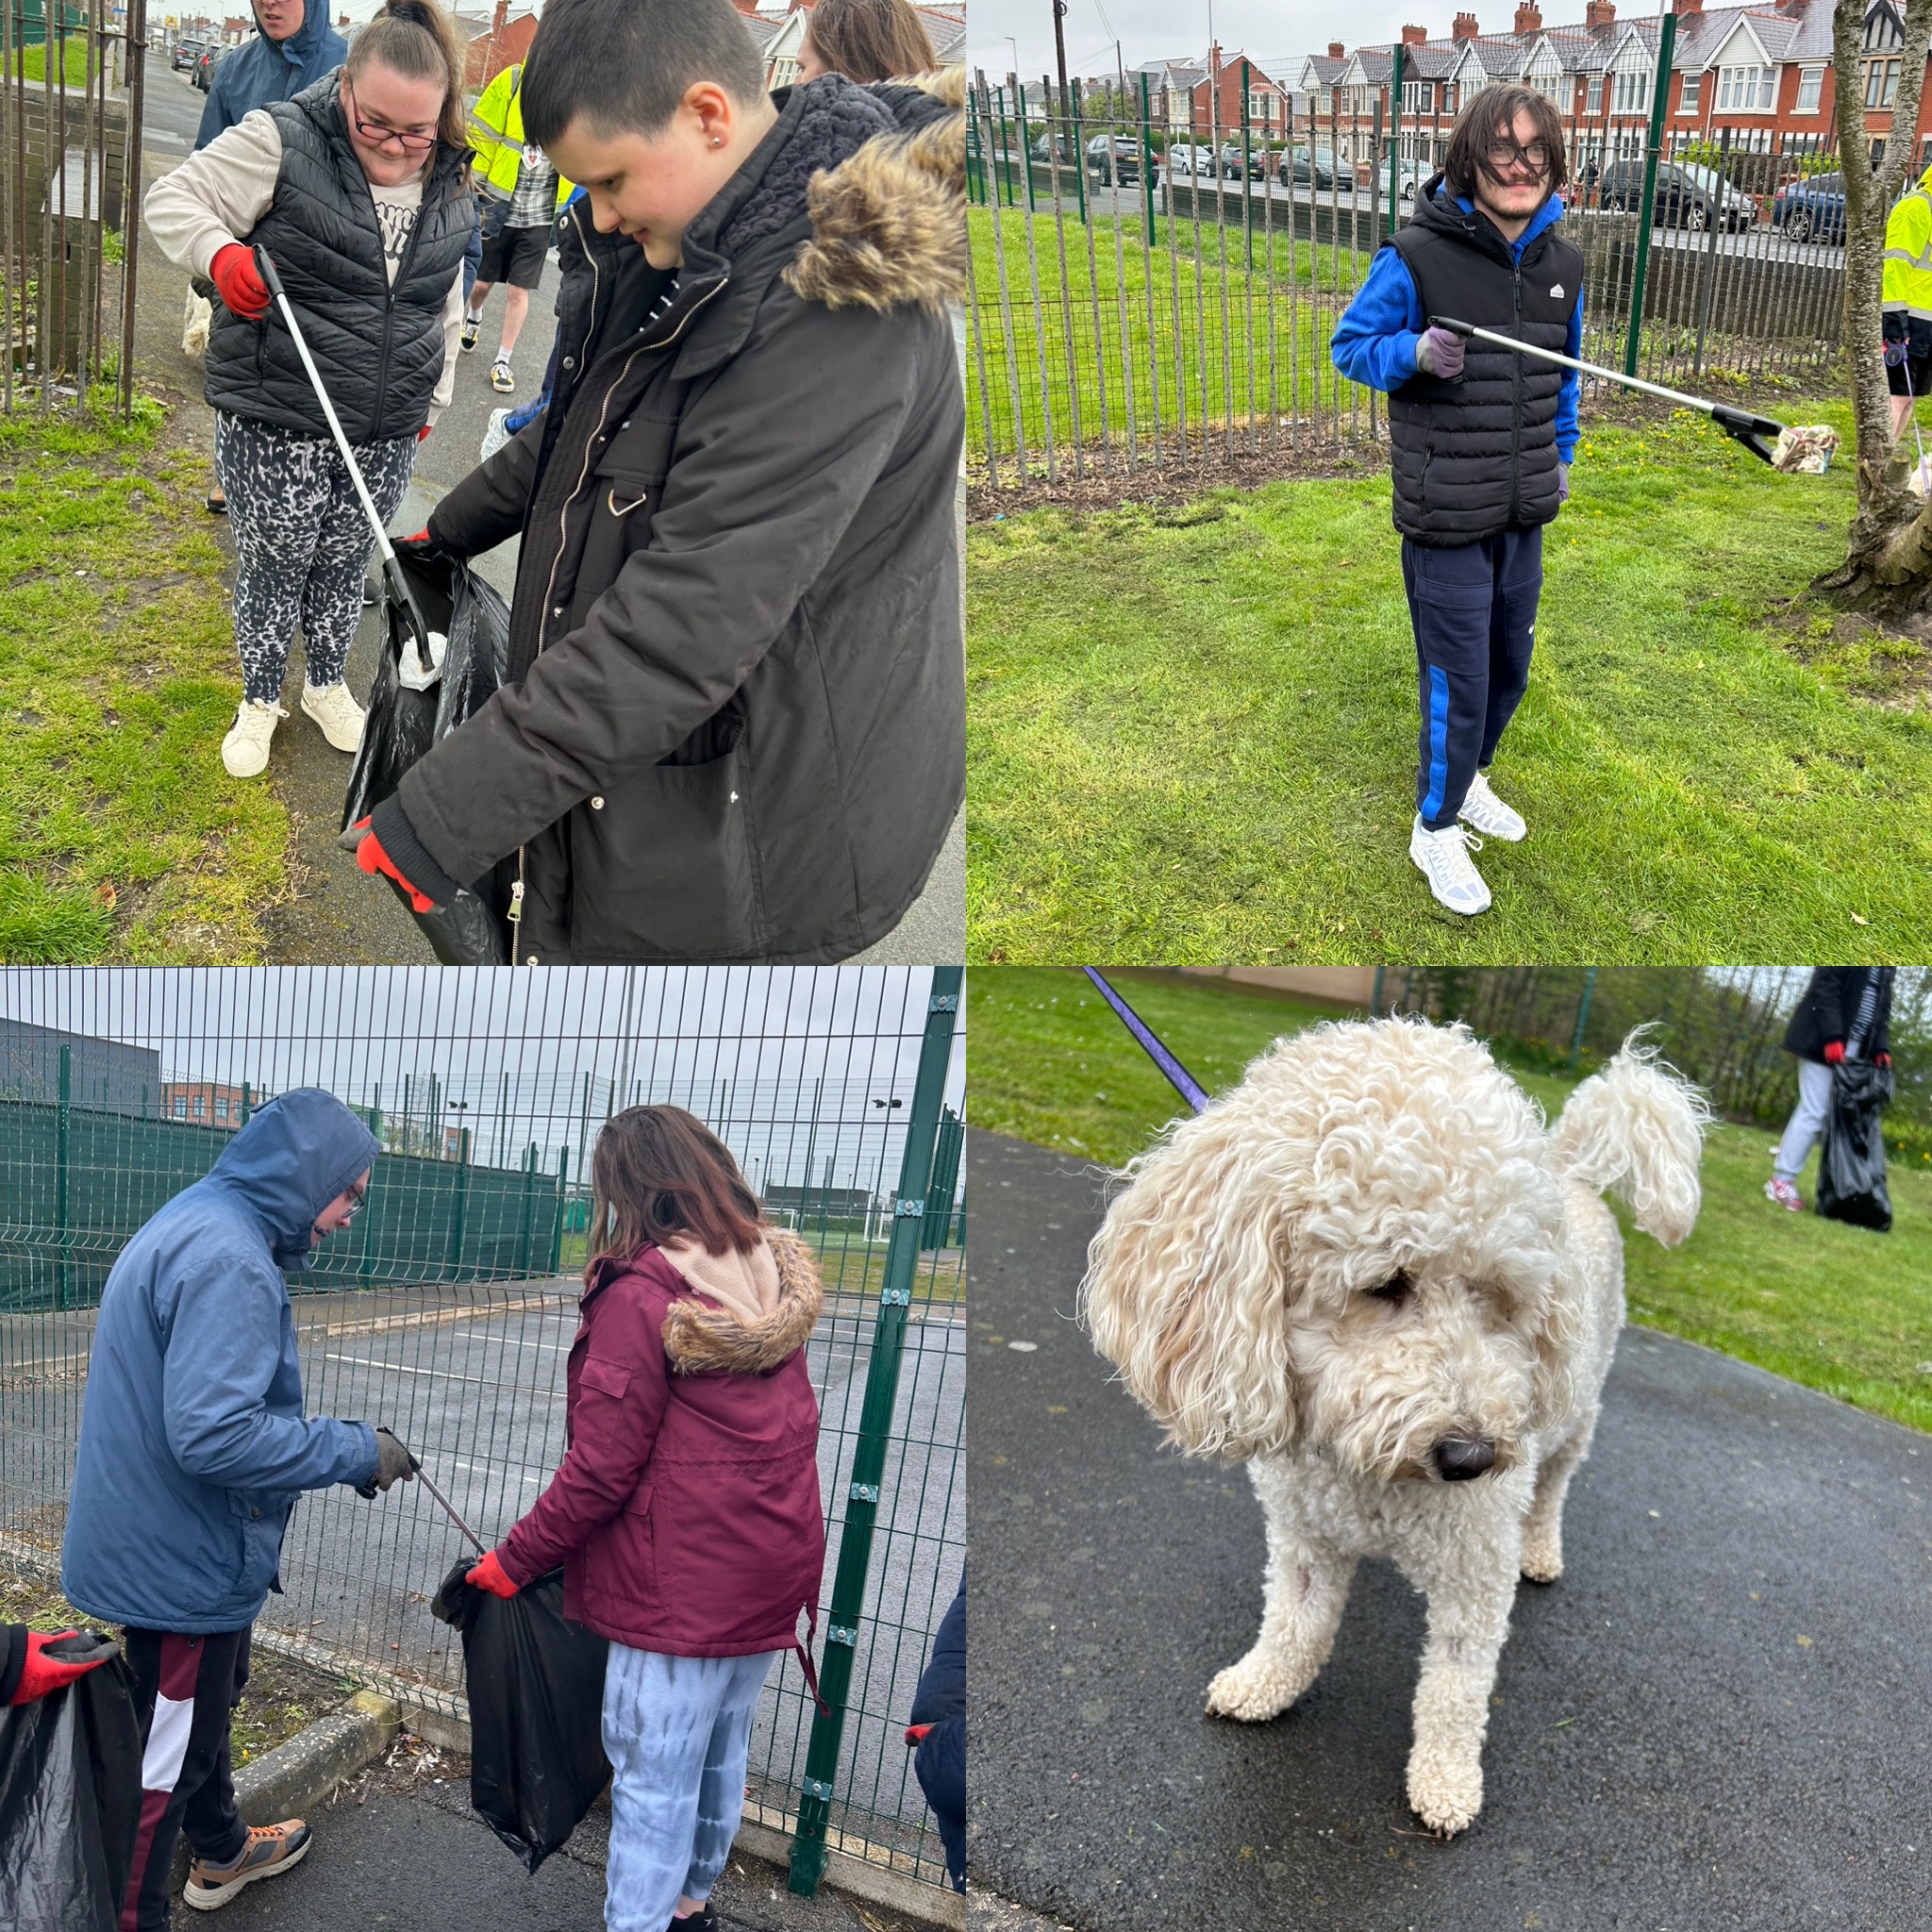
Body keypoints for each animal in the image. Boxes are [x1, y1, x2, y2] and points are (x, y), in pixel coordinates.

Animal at [1090, 1020, 1707, 1831]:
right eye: (1385, 1284)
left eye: (1498, 1297)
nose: (1473, 1457)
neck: (1375, 1480)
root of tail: (1571, 1171)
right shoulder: (1306, 1536)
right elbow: (1295, 1623)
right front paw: (1264, 1684)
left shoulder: (1475, 1570)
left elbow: (1455, 1689)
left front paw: (1445, 1783)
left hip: (1577, 1411)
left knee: (1553, 1485)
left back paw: (1541, 1547)